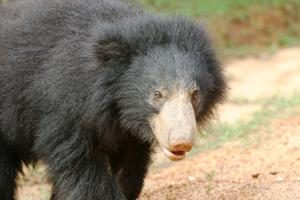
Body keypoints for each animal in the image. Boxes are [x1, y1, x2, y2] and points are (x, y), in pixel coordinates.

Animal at [0, 0, 225, 200]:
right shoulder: (64, 109)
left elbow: (130, 169)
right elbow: (83, 167)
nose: (181, 142)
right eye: (157, 94)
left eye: (194, 94)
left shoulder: (128, 133)